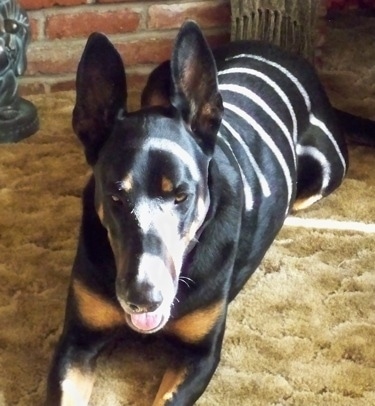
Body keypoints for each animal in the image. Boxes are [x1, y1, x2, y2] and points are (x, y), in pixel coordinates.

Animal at [46, 20, 350, 404]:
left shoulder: (201, 355)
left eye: (181, 195)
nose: (142, 299)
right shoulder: (77, 340)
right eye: (115, 196)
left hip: (323, 172)